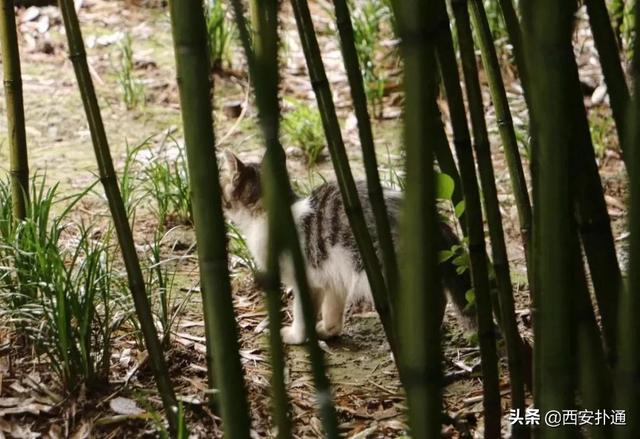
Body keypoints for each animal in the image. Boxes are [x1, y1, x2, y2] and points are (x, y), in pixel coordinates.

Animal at [220, 150, 476, 344]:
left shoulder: (306, 282)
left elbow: (302, 316)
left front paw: (295, 336)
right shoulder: (333, 276)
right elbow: (333, 312)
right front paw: (328, 330)